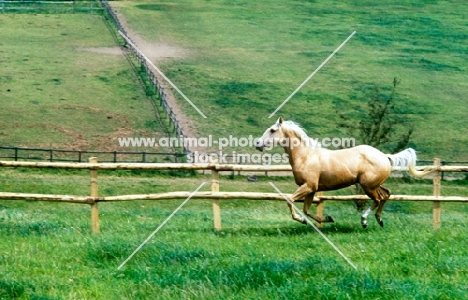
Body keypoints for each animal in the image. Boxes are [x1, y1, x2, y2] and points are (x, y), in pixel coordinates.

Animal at [254, 117, 434, 227]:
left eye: (272, 130)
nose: (257, 144)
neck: (306, 156)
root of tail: (384, 156)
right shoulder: (311, 189)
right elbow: (306, 210)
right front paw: (326, 219)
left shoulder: (309, 186)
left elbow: (290, 201)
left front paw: (301, 220)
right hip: (374, 185)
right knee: (386, 194)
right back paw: (379, 220)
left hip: (368, 186)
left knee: (378, 199)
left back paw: (364, 221)